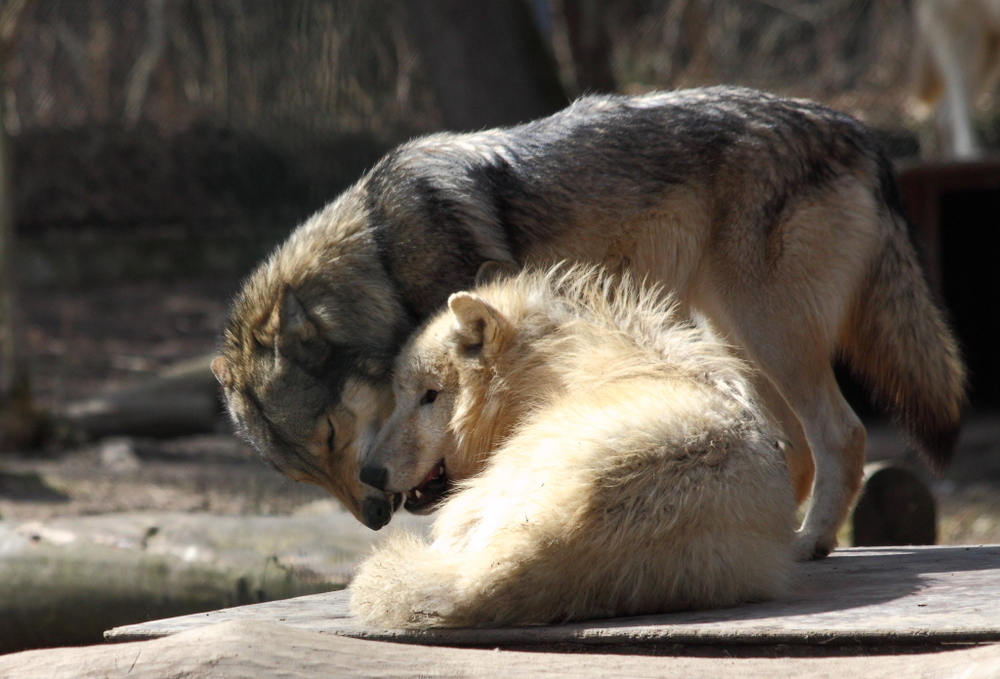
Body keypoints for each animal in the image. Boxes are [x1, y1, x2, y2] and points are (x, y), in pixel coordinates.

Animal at [213, 86, 968, 564]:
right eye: (305, 471)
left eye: (333, 434)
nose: (372, 510)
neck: (382, 261)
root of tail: (856, 129)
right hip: (727, 334)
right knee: (797, 449)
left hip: (771, 335)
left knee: (841, 434)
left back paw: (811, 541)